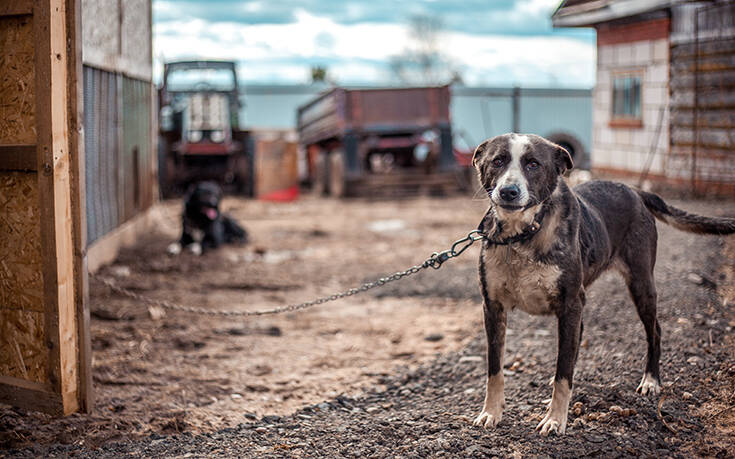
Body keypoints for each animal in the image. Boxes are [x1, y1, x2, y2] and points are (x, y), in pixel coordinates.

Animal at [472, 132, 735, 434]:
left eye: (533, 164)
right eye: (498, 161)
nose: (508, 192)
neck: (522, 235)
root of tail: (635, 190)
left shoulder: (570, 303)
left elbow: (563, 373)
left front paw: (555, 419)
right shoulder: (493, 306)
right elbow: (494, 369)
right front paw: (491, 412)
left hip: (641, 283)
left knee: (654, 330)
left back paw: (651, 380)